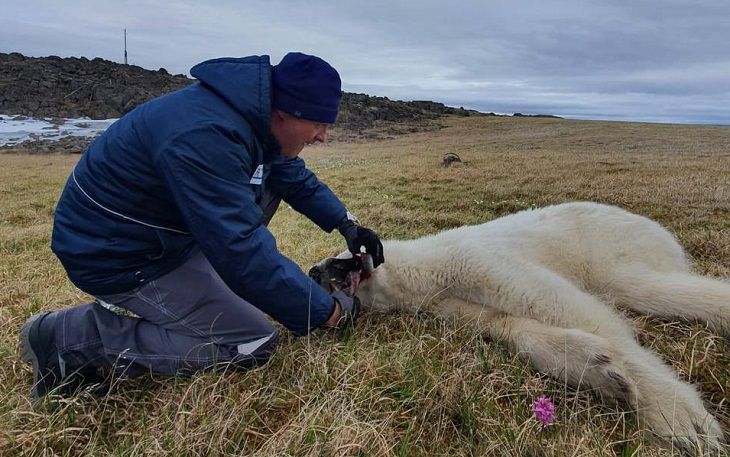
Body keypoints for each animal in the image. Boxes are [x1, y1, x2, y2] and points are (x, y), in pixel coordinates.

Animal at [310, 202, 724, 452]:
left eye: (338, 258)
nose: (314, 270)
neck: (422, 269)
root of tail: (661, 232)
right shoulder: (449, 302)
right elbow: (507, 325)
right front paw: (600, 370)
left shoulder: (471, 261)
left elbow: (555, 303)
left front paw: (680, 417)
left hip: (610, 245)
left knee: (644, 285)